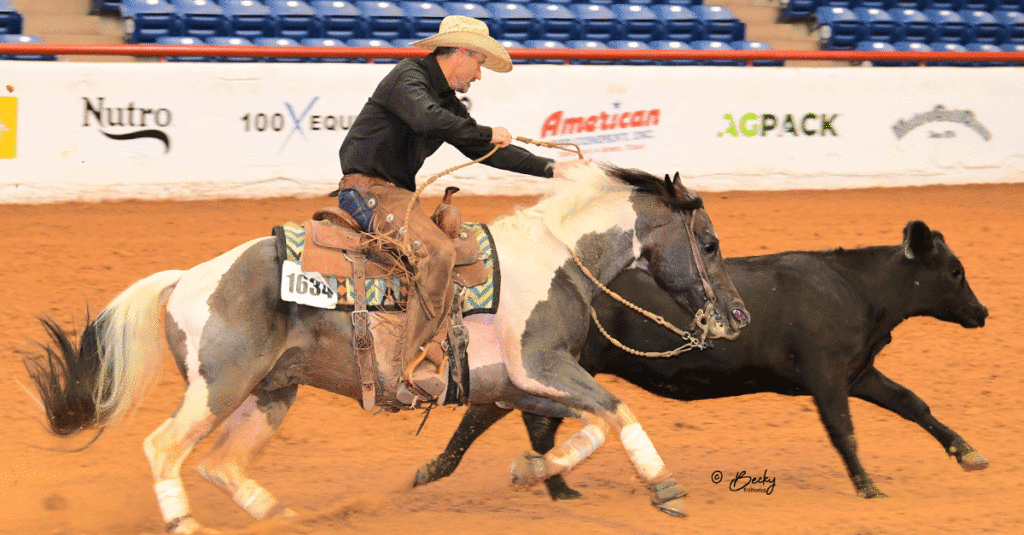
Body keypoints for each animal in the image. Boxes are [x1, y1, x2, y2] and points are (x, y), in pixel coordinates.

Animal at [22, 162, 745, 532]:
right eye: (709, 242)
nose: (736, 316)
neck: (556, 260)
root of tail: (185, 279)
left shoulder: (518, 382)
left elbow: (587, 424)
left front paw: (533, 469)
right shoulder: (542, 365)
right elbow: (616, 411)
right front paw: (664, 486)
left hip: (272, 392)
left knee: (222, 464)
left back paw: (289, 516)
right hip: (217, 387)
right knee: (165, 447)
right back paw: (187, 524)